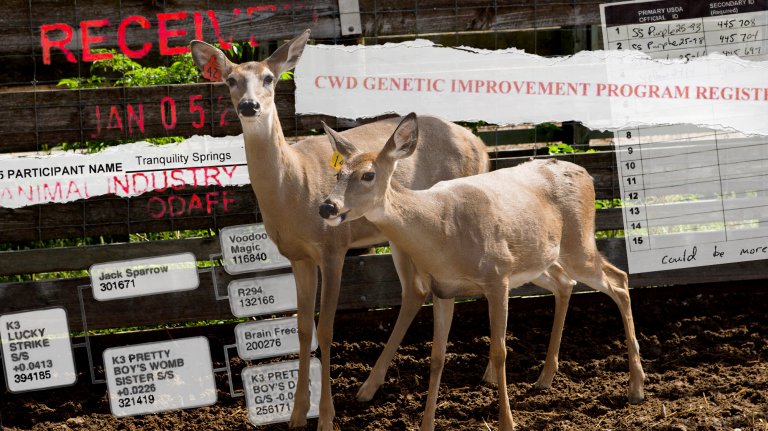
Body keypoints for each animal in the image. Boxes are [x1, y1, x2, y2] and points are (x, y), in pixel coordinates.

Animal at [189, 32, 489, 429]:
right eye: (230, 80)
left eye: (269, 78)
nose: (250, 106)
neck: (294, 187)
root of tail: (482, 146)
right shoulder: (298, 256)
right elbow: (303, 329)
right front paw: (297, 415)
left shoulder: (333, 247)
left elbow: (327, 329)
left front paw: (327, 417)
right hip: (404, 234)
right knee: (414, 290)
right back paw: (368, 388)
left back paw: (489, 375)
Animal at [319, 113, 646, 430]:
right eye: (338, 174)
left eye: (368, 174)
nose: (326, 207)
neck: (441, 230)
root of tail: (585, 173)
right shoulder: (443, 288)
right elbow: (437, 357)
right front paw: (426, 424)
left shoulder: (496, 277)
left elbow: (499, 352)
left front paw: (506, 422)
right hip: (538, 260)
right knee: (566, 283)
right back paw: (545, 378)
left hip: (577, 244)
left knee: (618, 280)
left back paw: (636, 387)